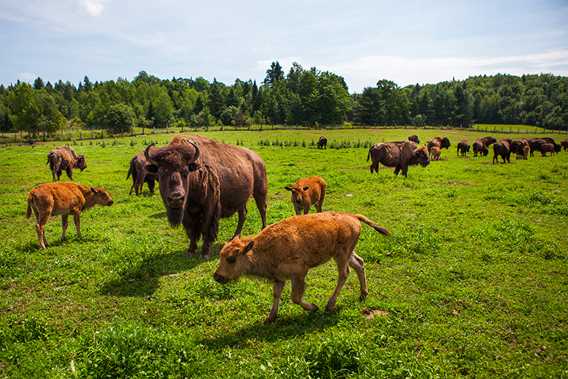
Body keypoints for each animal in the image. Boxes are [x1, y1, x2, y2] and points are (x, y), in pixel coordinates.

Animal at [213, 212, 390, 322]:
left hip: (341, 255)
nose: (217, 276)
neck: (261, 248)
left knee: (344, 273)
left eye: (231, 259)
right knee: (359, 264)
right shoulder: (279, 278)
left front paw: (313, 307)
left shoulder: (299, 274)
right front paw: (270, 318)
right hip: (346, 253)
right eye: (220, 255)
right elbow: (276, 295)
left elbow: (295, 297)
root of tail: (353, 216)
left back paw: (329, 305)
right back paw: (363, 294)